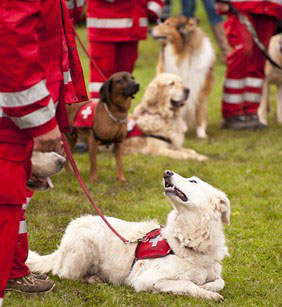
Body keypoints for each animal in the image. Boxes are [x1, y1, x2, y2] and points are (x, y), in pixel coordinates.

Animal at [25, 171, 229, 304]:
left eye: (193, 181)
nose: (167, 172)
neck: (189, 241)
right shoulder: (147, 279)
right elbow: (187, 284)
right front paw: (208, 294)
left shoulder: (214, 273)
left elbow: (220, 281)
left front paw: (208, 287)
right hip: (84, 245)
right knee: (65, 274)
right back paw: (94, 279)